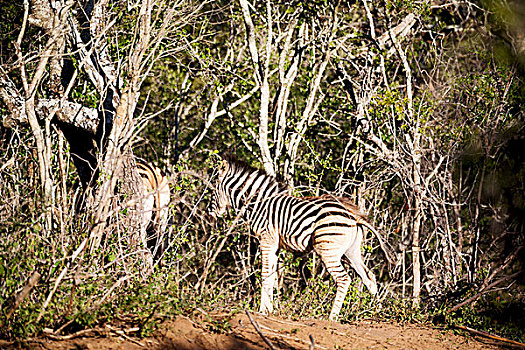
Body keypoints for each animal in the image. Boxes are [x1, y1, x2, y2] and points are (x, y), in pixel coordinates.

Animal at [210, 157, 392, 322]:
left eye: (212, 190)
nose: (211, 215)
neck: (258, 204)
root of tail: (353, 216)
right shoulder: (275, 245)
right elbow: (273, 276)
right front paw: (270, 309)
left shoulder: (266, 240)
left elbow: (265, 274)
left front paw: (262, 310)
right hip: (351, 252)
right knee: (369, 277)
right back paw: (377, 312)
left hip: (328, 250)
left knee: (344, 279)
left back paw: (332, 318)